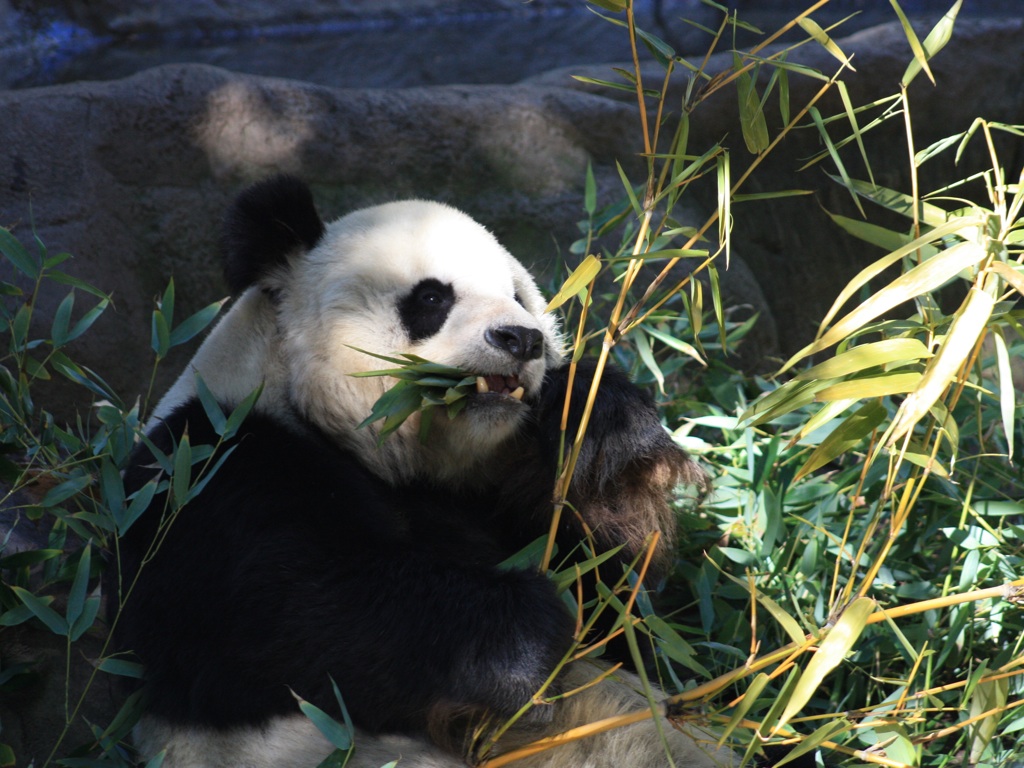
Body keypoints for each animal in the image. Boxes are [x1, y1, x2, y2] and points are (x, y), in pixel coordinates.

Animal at [114, 175, 735, 768]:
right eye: (432, 297)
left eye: (519, 297)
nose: (521, 339)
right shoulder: (212, 466)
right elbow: (298, 613)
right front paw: (522, 639)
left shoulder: (490, 498)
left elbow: (616, 616)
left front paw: (605, 425)